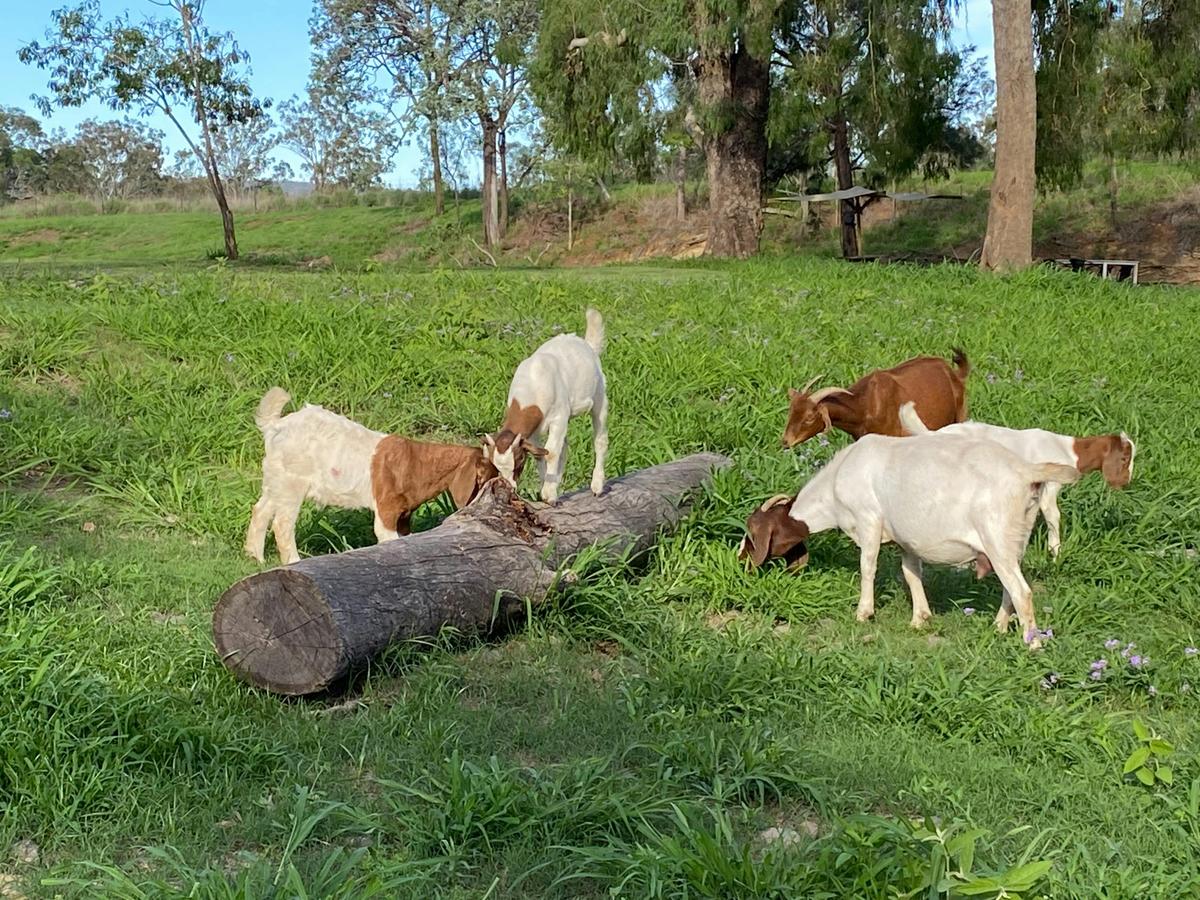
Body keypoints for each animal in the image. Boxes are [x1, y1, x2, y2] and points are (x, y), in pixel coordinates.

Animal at [245, 388, 498, 565]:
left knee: (261, 510)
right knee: (282, 523)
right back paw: (293, 562)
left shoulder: (404, 515)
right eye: (484, 478)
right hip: (292, 482)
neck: (415, 463)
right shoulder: (387, 510)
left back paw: (256, 558)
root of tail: (275, 425)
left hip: (275, 479)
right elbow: (388, 540)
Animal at [484, 308, 608, 503]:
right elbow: (541, 454)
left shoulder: (558, 418)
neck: (532, 387)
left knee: (600, 439)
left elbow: (551, 452)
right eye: (495, 465)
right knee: (564, 447)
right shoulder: (533, 431)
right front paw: (547, 488)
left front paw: (548, 493)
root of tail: (586, 344)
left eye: (519, 461)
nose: (510, 488)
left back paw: (597, 485)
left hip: (600, 397)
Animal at [740, 432, 1081, 648]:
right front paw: (920, 618)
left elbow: (868, 566)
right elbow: (911, 573)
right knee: (1012, 587)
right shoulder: (907, 539)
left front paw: (864, 613)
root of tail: (1026, 472)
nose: (742, 563)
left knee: (1022, 591)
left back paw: (1031, 644)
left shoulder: (868, 520)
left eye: (752, 534)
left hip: (996, 538)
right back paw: (999, 627)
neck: (836, 484)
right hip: (1015, 540)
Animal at [783, 349, 970, 448]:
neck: (863, 406)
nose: (785, 441)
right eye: (791, 412)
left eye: (809, 417)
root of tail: (953, 372)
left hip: (960, 414)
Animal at [898, 401, 1136, 558]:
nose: (1125, 482)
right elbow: (1053, 515)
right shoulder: (1050, 485)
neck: (1067, 450)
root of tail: (932, 434)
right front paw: (1055, 552)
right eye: (1125, 458)